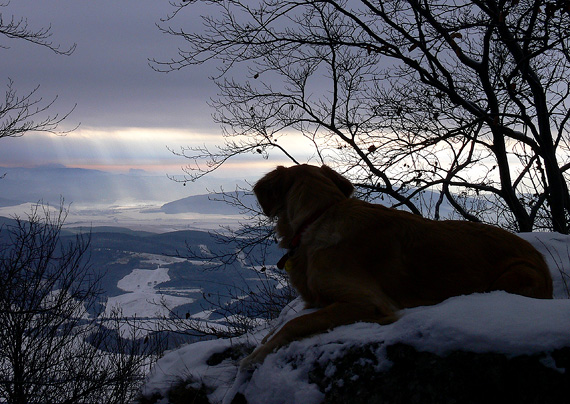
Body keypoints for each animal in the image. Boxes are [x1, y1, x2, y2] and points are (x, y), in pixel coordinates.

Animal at [242, 163, 552, 366]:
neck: (317, 217)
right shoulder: (316, 299)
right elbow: (277, 327)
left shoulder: (367, 301)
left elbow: (295, 324)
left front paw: (254, 357)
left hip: (517, 272)